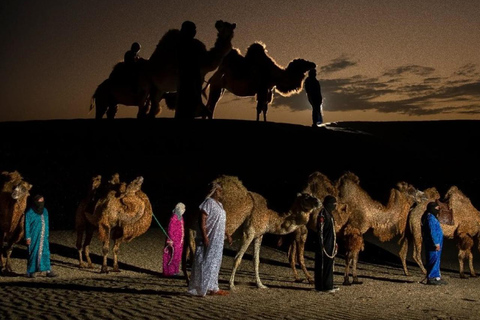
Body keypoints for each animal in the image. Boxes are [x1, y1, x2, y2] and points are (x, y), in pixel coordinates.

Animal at [91, 20, 235, 120]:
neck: (204, 59)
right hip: (142, 88)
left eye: (226, 24)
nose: (217, 23)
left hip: (149, 91)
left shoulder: (197, 78)